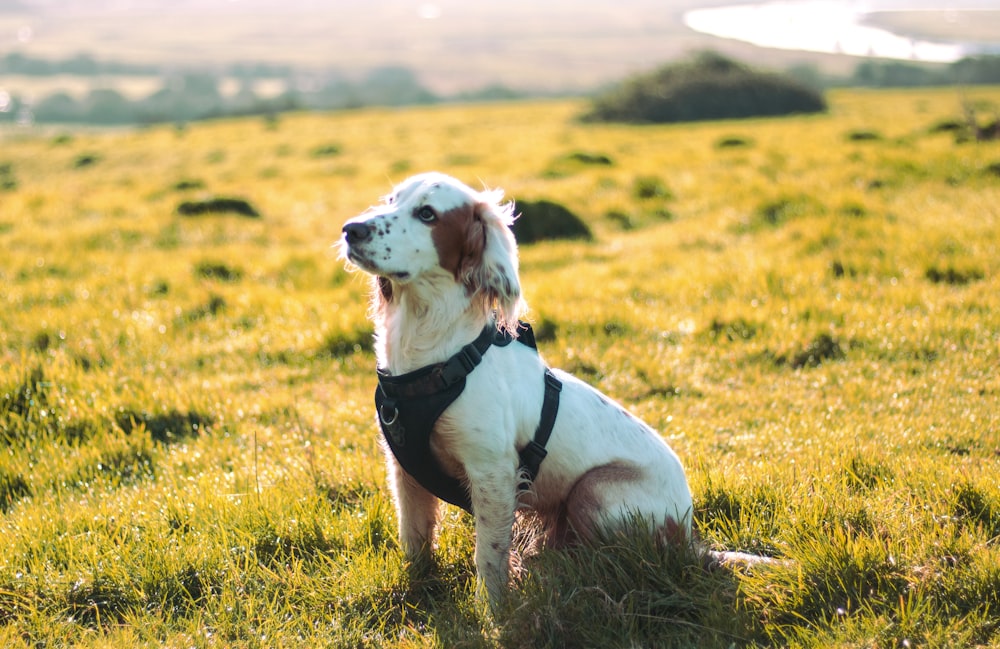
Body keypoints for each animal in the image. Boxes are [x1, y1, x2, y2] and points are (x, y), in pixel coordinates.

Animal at [340, 172, 760, 608]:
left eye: (427, 213)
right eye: (391, 200)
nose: (351, 230)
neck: (434, 358)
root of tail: (690, 536)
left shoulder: (492, 473)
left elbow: (488, 556)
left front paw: (493, 613)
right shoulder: (405, 472)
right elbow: (414, 541)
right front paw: (416, 593)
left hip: (594, 491)